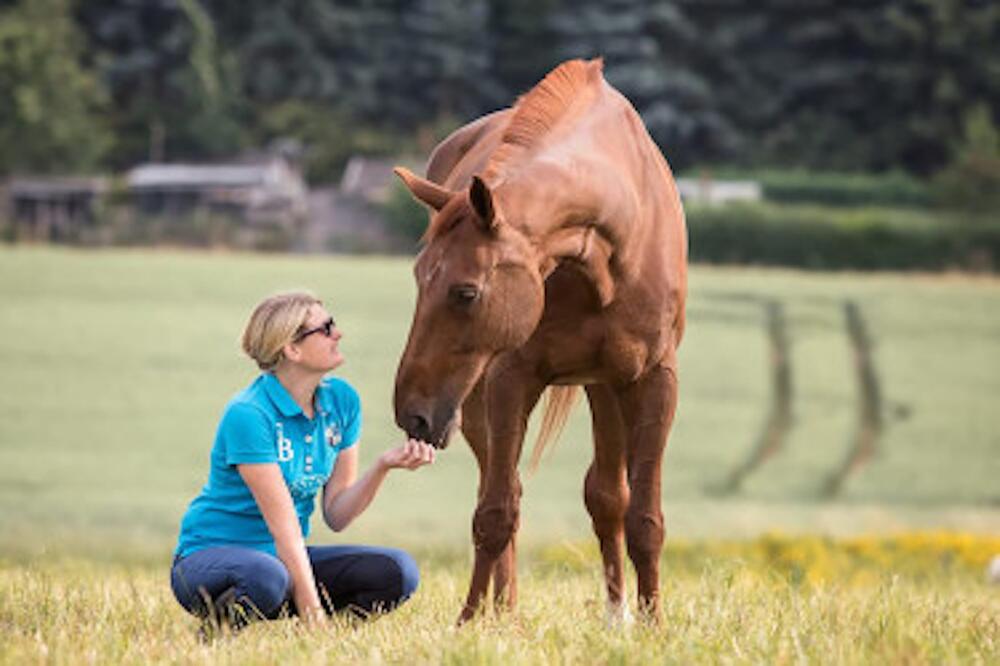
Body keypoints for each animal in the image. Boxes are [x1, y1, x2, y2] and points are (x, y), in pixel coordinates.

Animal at [394, 58, 684, 624]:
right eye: (418, 279)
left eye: (465, 292)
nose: (411, 412)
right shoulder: (511, 377)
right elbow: (494, 512)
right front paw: (468, 622)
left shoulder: (654, 377)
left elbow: (643, 517)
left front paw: (654, 624)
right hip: (477, 399)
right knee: (503, 490)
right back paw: (501, 611)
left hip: (604, 384)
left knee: (607, 495)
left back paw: (616, 613)